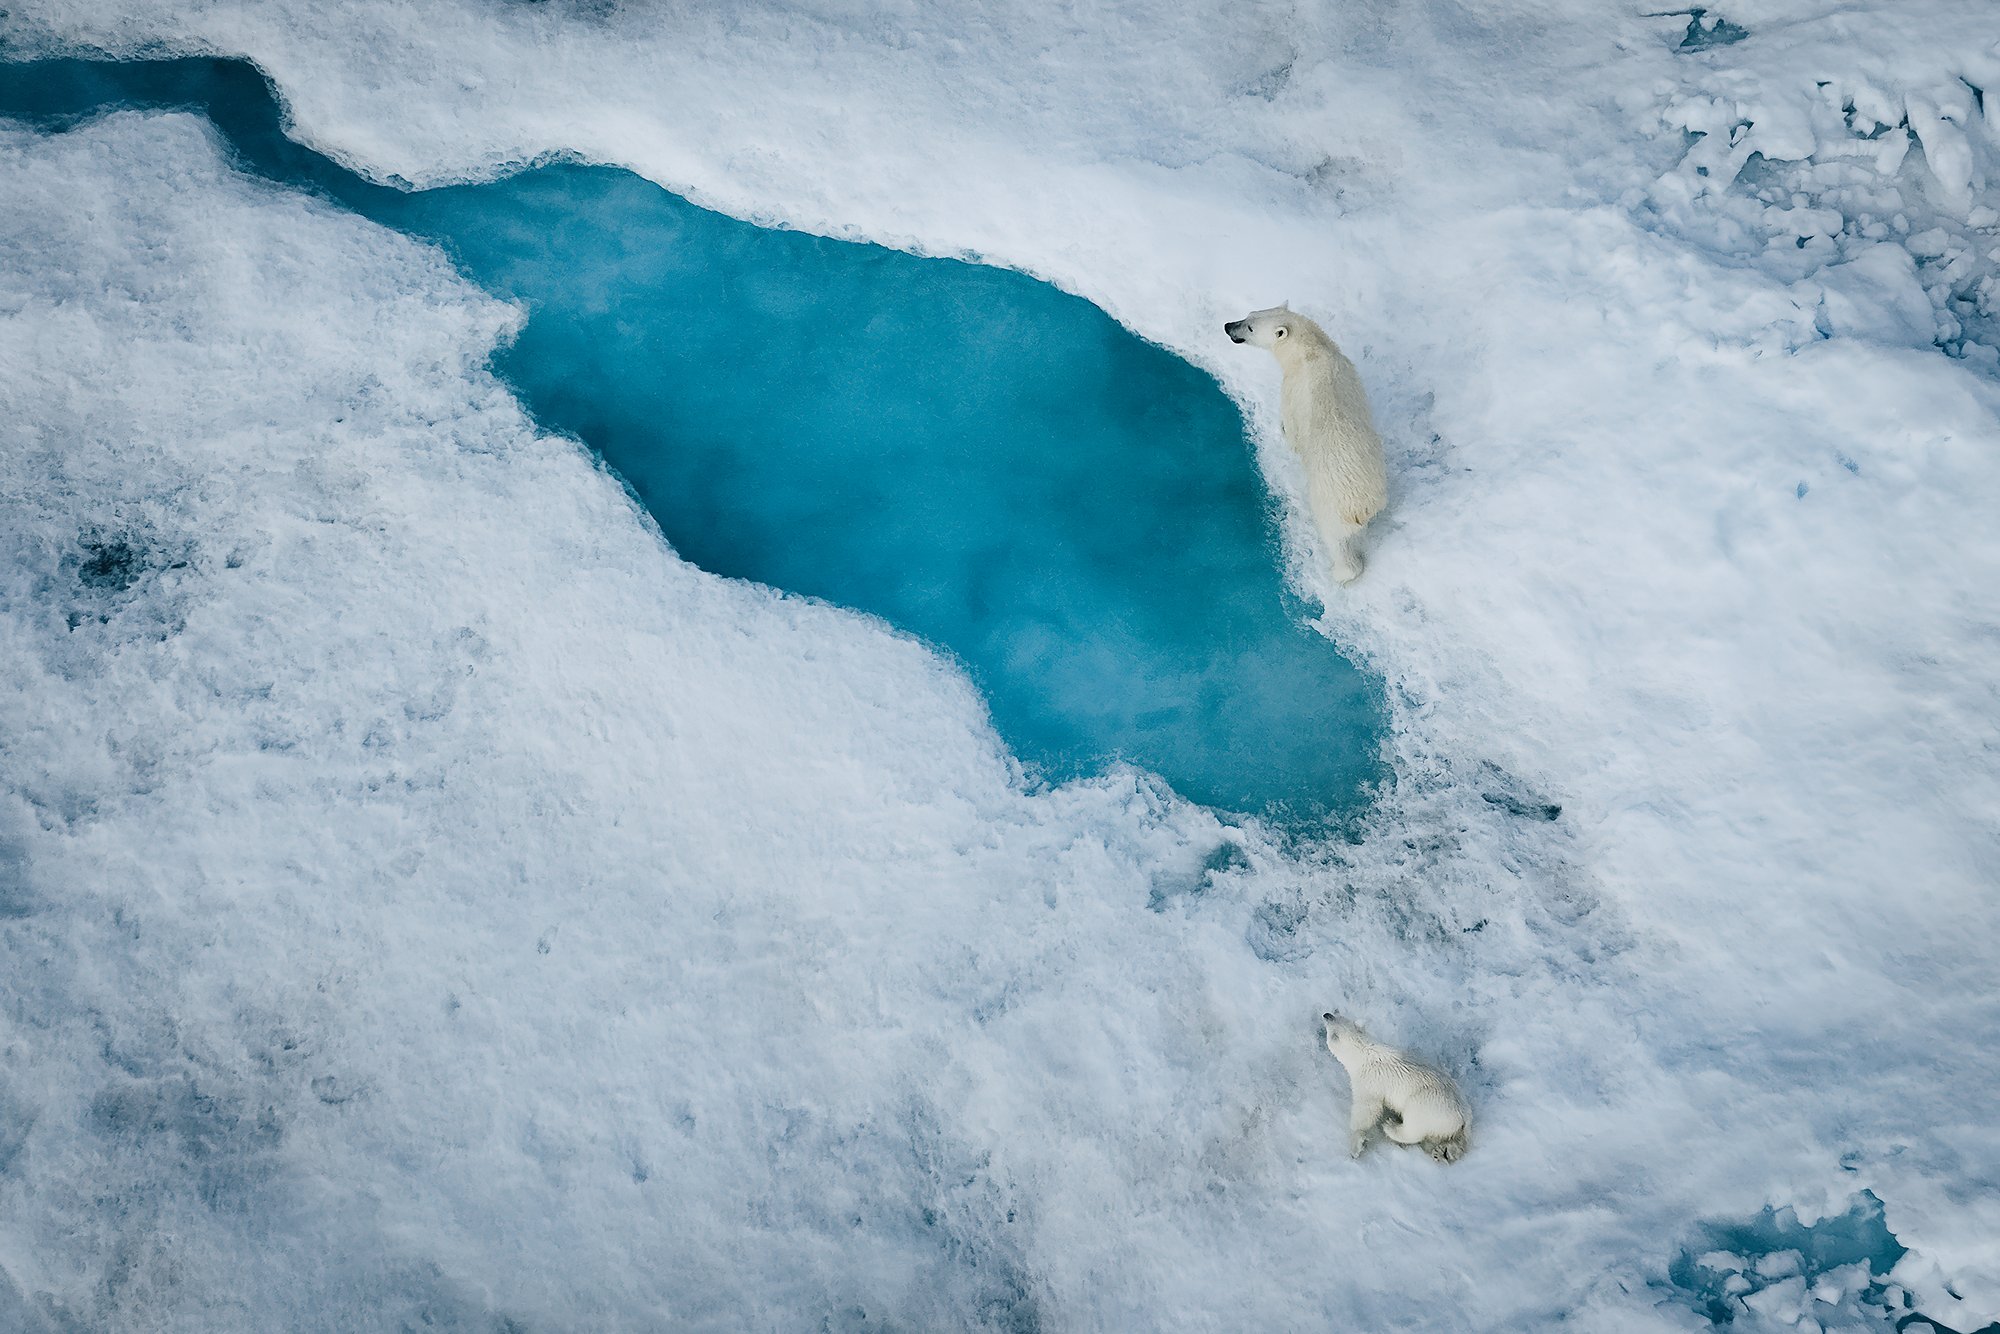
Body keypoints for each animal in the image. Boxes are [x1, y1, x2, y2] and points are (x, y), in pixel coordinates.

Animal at [1224, 307, 1388, 584]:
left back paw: (1340, 573)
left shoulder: (1291, 390)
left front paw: (1282, 430)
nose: (1227, 326)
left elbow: (1292, 432)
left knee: (1336, 540)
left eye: (1250, 328)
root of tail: (1361, 507)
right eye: (1248, 315)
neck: (1311, 350)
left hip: (1329, 504)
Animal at [1321, 1012, 1470, 1163]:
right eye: (1337, 1016)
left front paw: (1356, 1145)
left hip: (1429, 1105)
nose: (1326, 1015)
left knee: (1414, 1125)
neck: (1365, 1052)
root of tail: (1465, 1116)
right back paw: (1438, 1152)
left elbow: (1366, 1109)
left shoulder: (1369, 1082)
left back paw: (1391, 1126)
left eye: (1330, 1030)